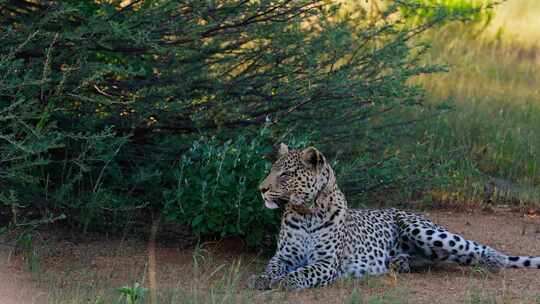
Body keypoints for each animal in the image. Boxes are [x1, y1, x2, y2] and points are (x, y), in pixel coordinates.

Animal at [248, 144, 540, 290]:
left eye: (286, 175)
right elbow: (273, 266)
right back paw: (400, 262)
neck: (307, 213)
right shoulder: (285, 255)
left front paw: (285, 282)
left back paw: (494, 261)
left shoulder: (327, 262)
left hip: (424, 231)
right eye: (272, 170)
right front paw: (263, 278)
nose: (261, 189)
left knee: (474, 247)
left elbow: (303, 272)